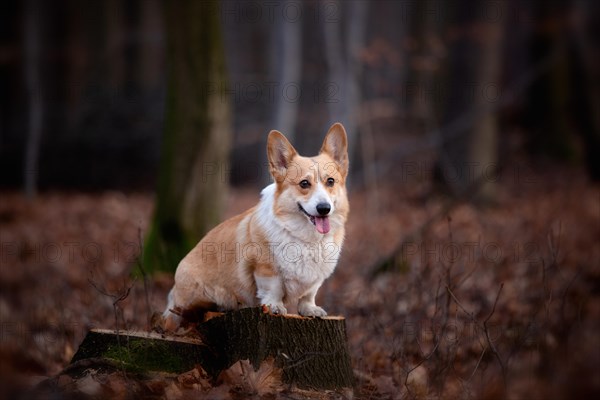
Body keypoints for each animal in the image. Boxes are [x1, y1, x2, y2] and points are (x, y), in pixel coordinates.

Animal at [163, 123, 352, 330]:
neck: (307, 238)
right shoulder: (265, 269)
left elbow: (309, 294)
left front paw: (310, 310)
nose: (324, 208)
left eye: (330, 181)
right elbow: (273, 288)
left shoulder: (315, 279)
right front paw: (274, 307)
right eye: (304, 183)